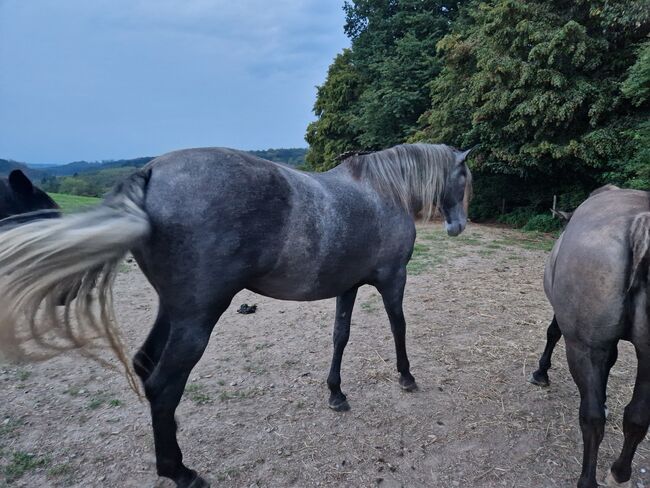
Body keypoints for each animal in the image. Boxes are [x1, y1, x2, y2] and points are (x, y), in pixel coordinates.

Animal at [0, 145, 468, 488]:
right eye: (463, 178)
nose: (458, 225)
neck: (381, 191)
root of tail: (150, 173)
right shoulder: (393, 280)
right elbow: (398, 327)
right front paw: (406, 376)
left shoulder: (347, 287)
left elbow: (341, 335)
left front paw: (336, 393)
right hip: (197, 320)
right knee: (164, 384)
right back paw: (180, 471)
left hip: (175, 312)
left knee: (146, 366)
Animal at [532, 185, 648, 486]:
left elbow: (552, 333)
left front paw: (541, 373)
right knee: (637, 417)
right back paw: (619, 472)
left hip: (583, 348)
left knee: (592, 419)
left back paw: (587, 479)